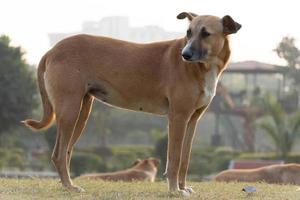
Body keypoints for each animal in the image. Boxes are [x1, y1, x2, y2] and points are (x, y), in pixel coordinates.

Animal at [22, 11, 240, 195]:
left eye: (206, 33)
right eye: (188, 33)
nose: (184, 55)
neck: (202, 68)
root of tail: (52, 50)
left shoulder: (192, 120)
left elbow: (185, 158)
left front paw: (183, 187)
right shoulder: (178, 118)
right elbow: (175, 158)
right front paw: (174, 190)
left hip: (81, 111)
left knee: (66, 151)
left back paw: (66, 185)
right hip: (70, 111)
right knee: (59, 154)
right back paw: (69, 186)